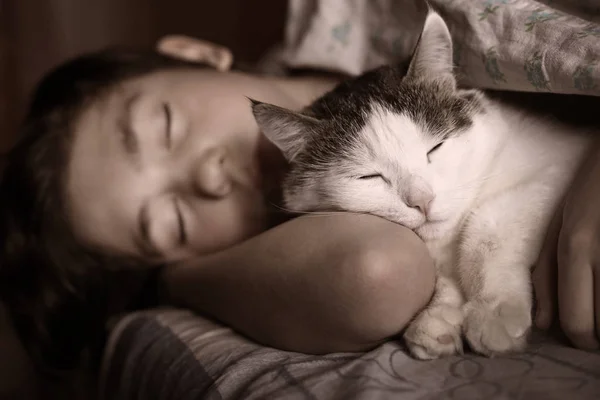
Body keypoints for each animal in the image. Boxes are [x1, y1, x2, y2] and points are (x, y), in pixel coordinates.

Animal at [250, 8, 596, 360]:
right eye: (368, 177)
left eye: (435, 148)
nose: (422, 200)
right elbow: (436, 272)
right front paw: (438, 316)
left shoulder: (558, 165)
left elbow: (486, 229)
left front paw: (493, 310)